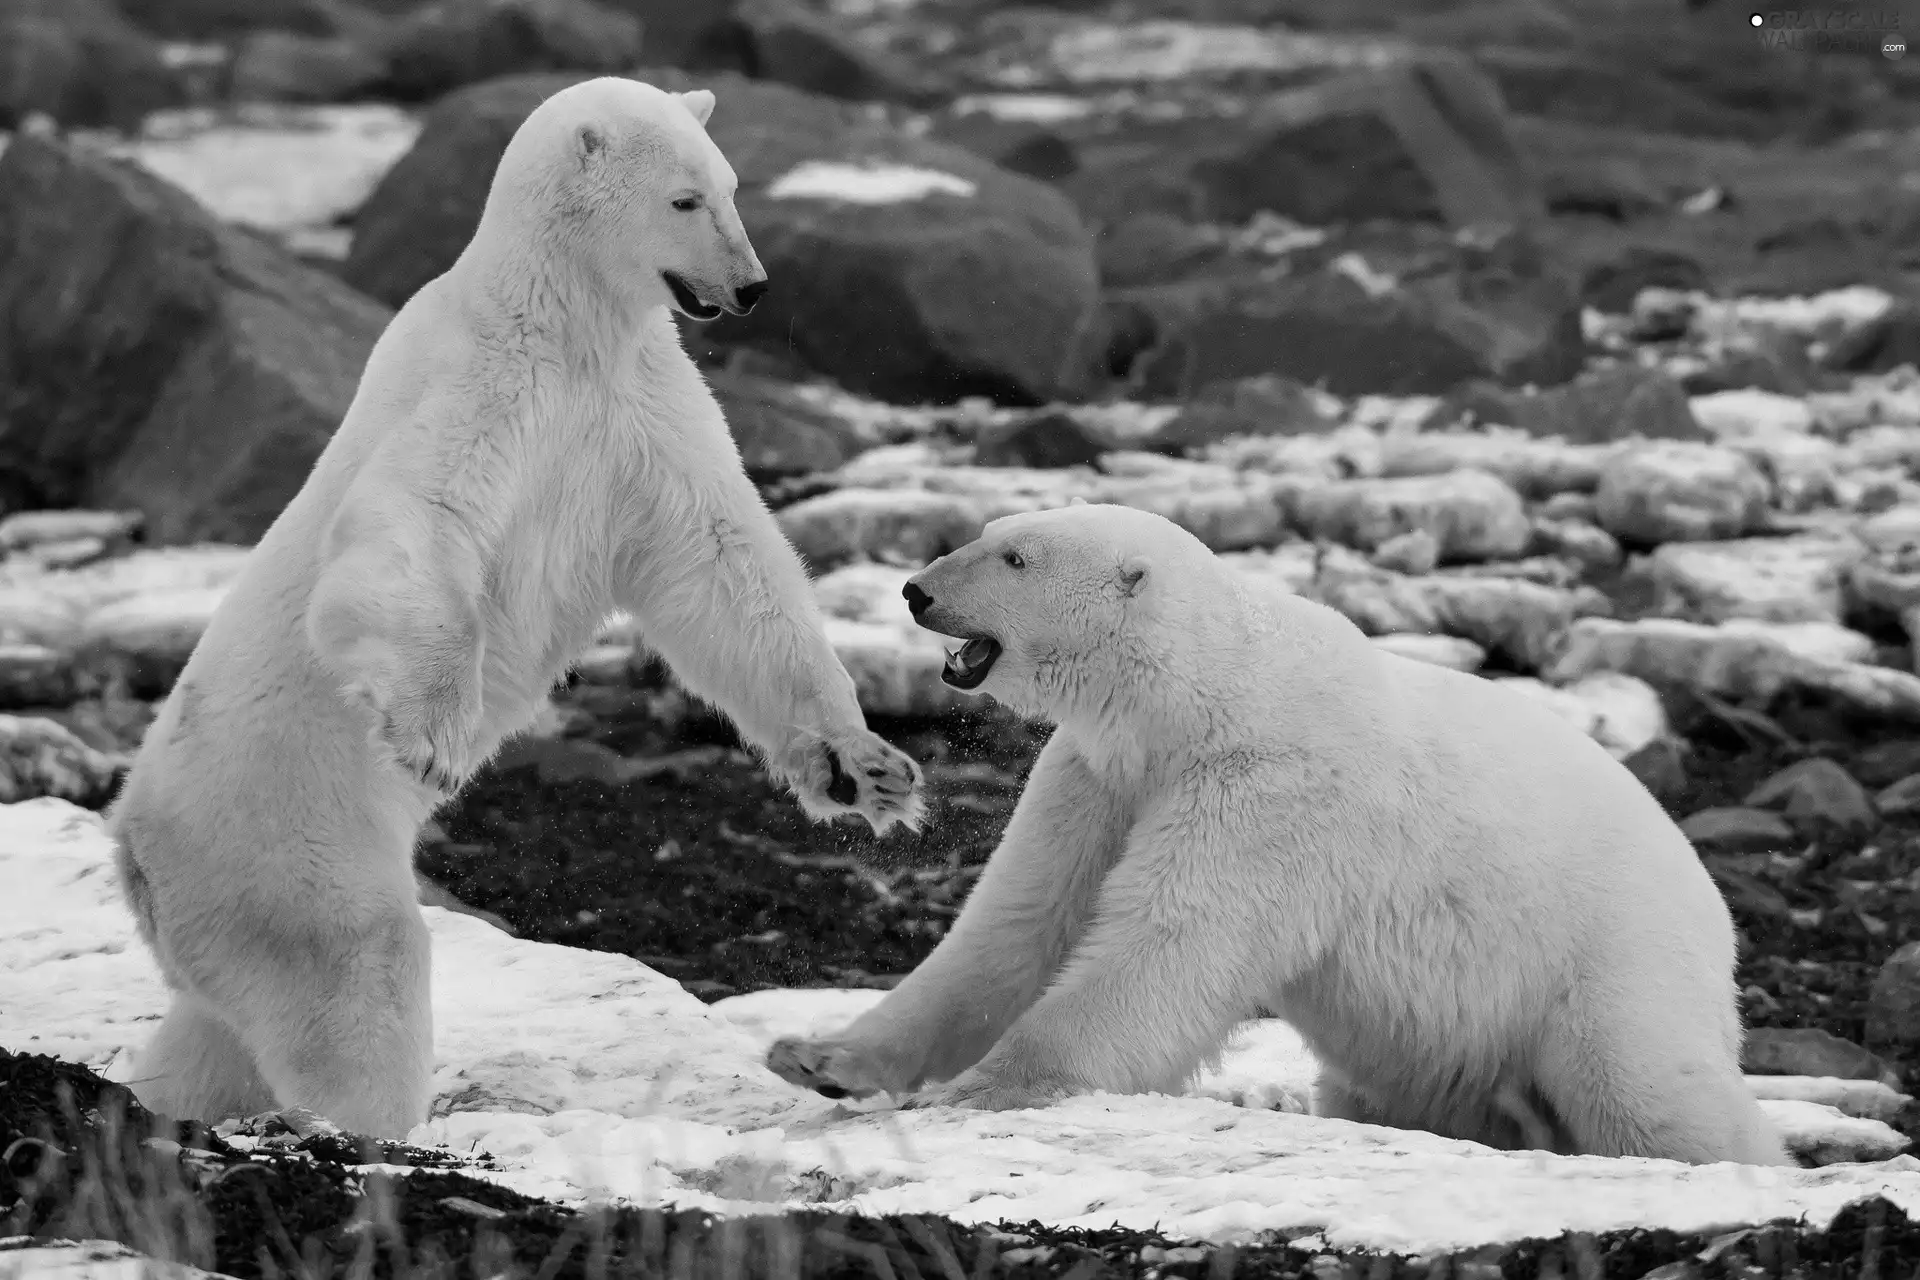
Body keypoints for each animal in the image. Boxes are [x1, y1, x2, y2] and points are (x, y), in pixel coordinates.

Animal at [108, 77, 925, 1143]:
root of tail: (132, 844)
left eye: (732, 186)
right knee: (355, 974)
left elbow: (724, 568)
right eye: (684, 199)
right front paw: (435, 736)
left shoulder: (639, 408)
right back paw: (376, 1125)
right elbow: (415, 522)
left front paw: (867, 769)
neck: (563, 319)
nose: (752, 287)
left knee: (220, 1031)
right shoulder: (486, 385)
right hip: (282, 839)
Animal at [768, 502, 1797, 1174]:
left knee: (1644, 1085)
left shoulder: (1273, 790)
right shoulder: (1101, 778)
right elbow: (1019, 925)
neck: (1202, 696)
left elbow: (1170, 941)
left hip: (1607, 956)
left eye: (1015, 558)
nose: (914, 590)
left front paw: (986, 1085)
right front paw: (818, 1059)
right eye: (983, 533)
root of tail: (1713, 905)